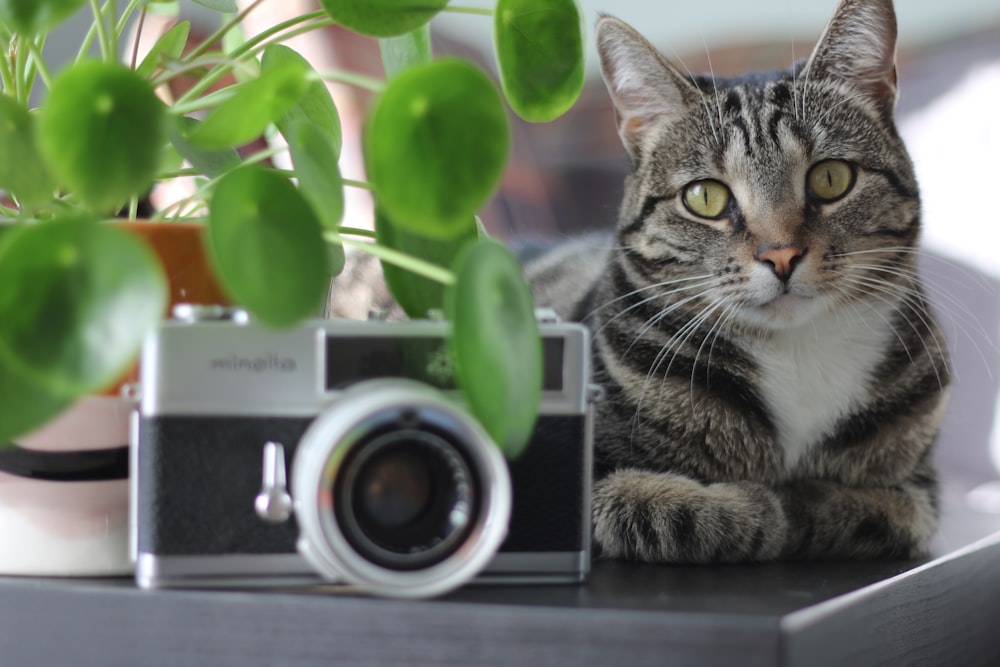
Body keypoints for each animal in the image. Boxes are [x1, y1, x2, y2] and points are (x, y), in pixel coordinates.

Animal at [524, 0, 952, 564]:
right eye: (704, 197)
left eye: (831, 178)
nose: (782, 254)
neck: (798, 353)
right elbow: (663, 505)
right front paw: (760, 504)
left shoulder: (921, 483)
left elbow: (893, 511)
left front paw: (805, 504)